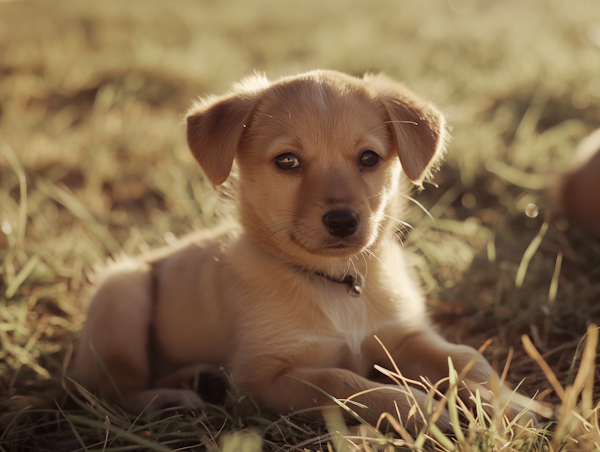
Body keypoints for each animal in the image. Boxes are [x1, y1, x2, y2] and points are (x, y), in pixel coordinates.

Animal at [72, 69, 524, 430]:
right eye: (287, 161)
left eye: (369, 158)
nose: (342, 221)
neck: (337, 283)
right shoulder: (261, 377)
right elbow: (341, 382)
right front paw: (420, 410)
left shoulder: (401, 335)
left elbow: (467, 357)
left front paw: (510, 405)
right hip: (121, 291)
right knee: (112, 390)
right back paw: (171, 399)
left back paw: (201, 379)